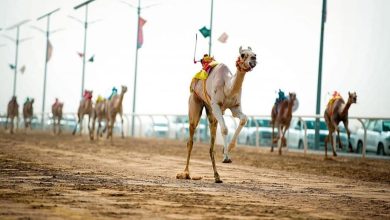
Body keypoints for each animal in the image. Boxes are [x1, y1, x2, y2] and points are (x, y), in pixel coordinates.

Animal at [176, 45, 256, 183]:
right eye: (243, 55)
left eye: (254, 53)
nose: (253, 60)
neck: (228, 87)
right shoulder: (216, 106)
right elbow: (224, 129)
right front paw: (226, 157)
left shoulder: (235, 107)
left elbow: (243, 119)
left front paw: (227, 150)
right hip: (195, 102)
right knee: (190, 139)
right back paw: (186, 173)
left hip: (211, 114)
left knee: (211, 146)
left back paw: (217, 176)